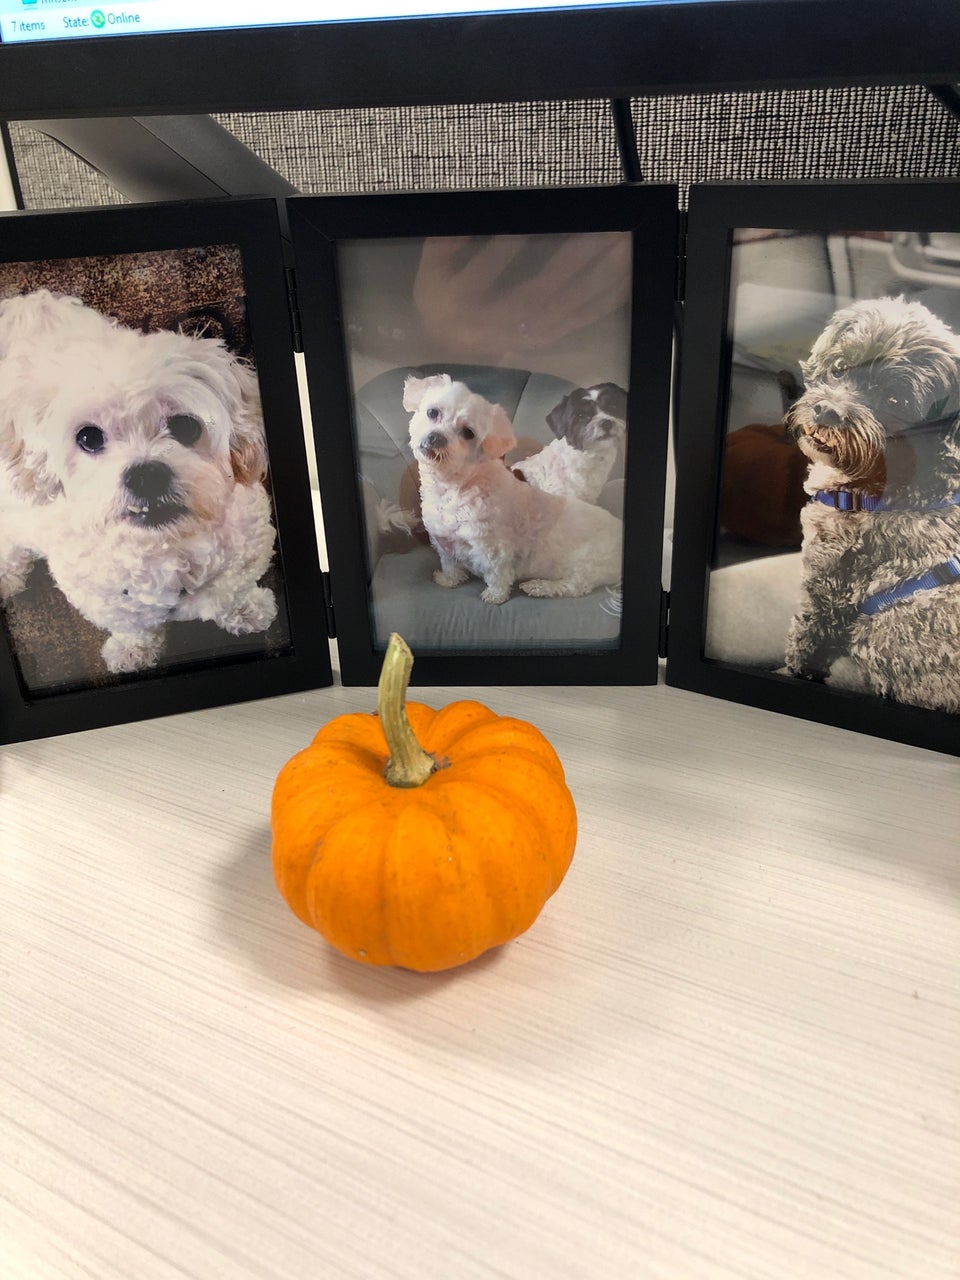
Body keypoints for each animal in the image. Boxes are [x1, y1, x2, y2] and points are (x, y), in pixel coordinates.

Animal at [0, 289, 278, 674]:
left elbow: (230, 591)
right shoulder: (103, 597)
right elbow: (134, 625)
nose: (146, 475)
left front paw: (247, 610)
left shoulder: (246, 551)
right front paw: (133, 650)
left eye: (186, 425)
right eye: (88, 437)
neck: (167, 545)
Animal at [403, 373, 623, 604]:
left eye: (468, 433)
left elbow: (497, 574)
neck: (454, 486)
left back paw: (540, 586)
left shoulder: (493, 549)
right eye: (433, 412)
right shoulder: (444, 543)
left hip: (587, 566)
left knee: (574, 586)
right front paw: (448, 580)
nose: (436, 437)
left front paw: (495, 595)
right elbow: (450, 564)